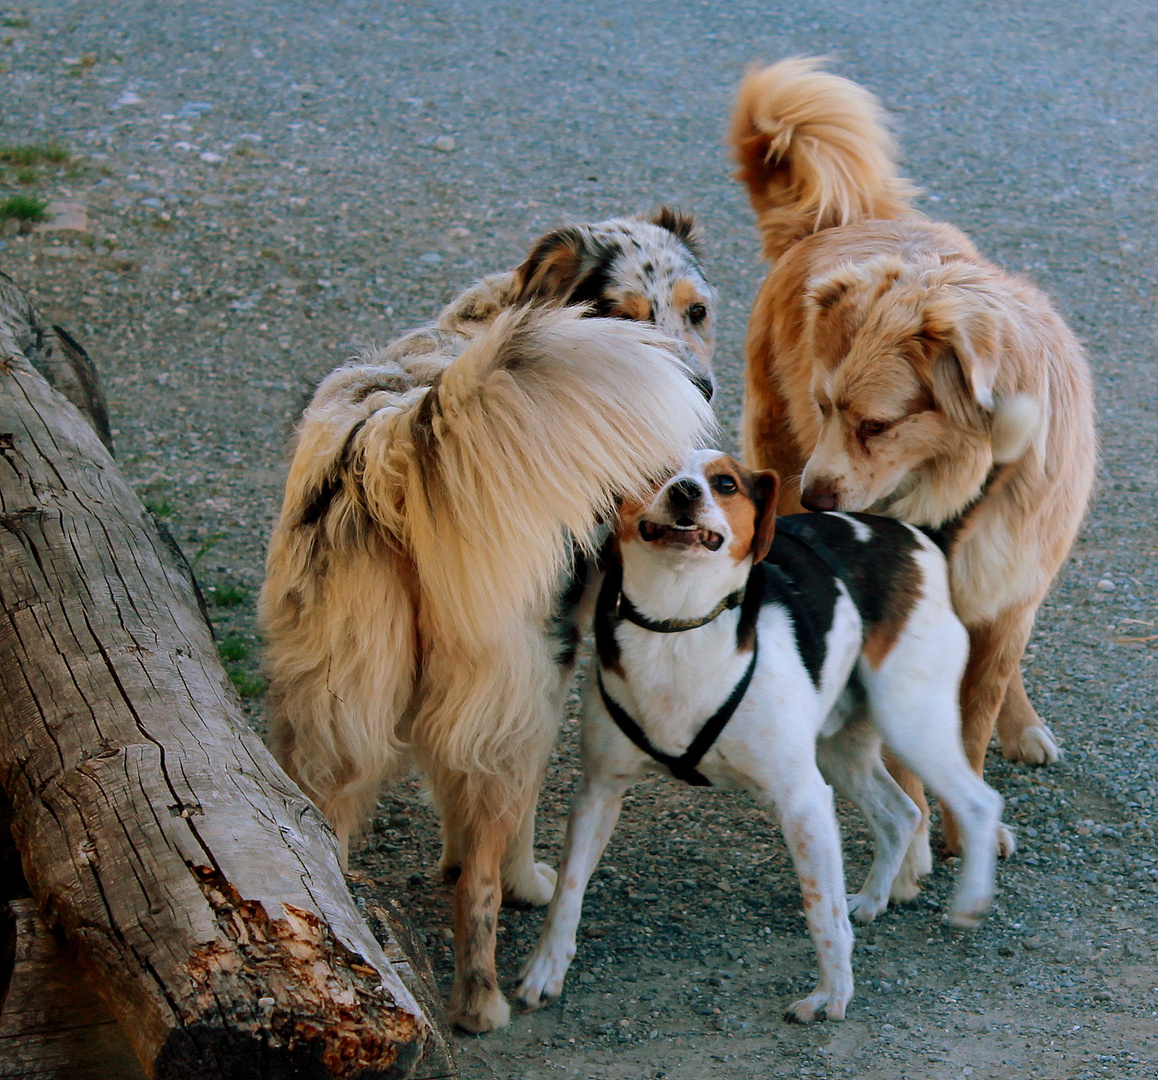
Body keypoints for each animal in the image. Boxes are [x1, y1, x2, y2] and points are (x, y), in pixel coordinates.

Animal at [261, 210, 713, 1027]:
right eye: (624, 317)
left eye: (698, 312)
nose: (700, 387)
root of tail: (389, 445)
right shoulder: (545, 677)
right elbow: (513, 818)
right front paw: (522, 881)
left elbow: (452, 792)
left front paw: (453, 855)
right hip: (512, 683)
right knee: (481, 880)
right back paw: (481, 1002)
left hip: (327, 706)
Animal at [516, 451, 1005, 1023]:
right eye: (655, 471)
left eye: (726, 484)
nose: (684, 492)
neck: (678, 623)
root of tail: (917, 535)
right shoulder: (598, 790)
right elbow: (567, 891)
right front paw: (544, 970)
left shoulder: (802, 800)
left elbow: (822, 911)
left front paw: (832, 995)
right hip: (842, 749)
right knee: (901, 813)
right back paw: (872, 899)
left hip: (911, 722)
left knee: (978, 802)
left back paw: (969, 902)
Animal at [731, 59, 1093, 865]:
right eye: (823, 406)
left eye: (877, 425)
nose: (816, 493)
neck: (961, 494)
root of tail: (838, 221)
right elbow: (910, 753)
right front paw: (920, 843)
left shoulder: (1008, 585)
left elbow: (972, 724)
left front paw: (968, 822)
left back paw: (1024, 723)